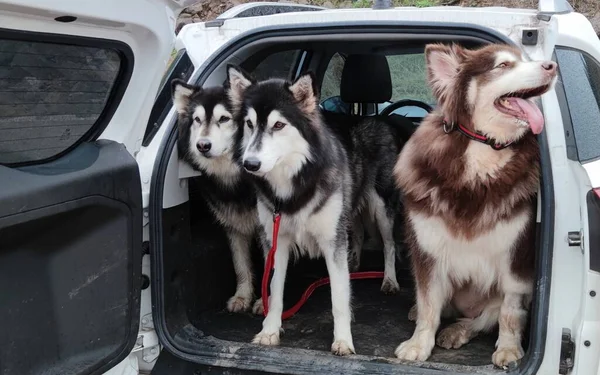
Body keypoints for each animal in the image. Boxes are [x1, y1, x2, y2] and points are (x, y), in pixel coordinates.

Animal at [394, 43, 556, 368]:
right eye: (503, 65)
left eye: (526, 59)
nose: (552, 67)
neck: (482, 151)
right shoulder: (427, 251)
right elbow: (428, 303)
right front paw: (419, 344)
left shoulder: (516, 260)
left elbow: (509, 313)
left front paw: (508, 349)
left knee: (483, 319)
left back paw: (457, 331)